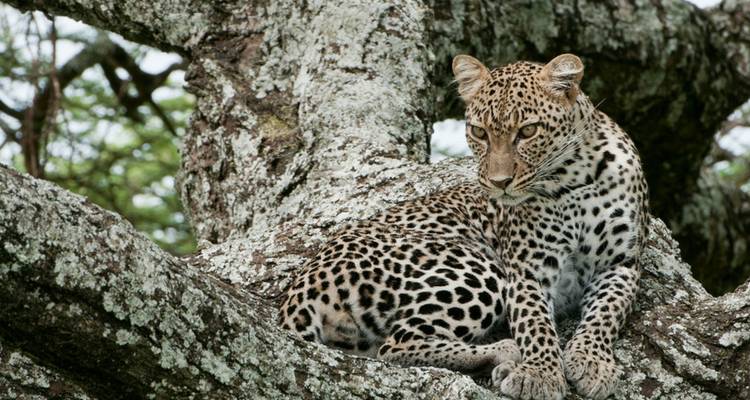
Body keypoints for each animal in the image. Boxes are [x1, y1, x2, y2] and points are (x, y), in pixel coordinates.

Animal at [279, 53, 649, 400]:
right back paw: (503, 352)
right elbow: (536, 325)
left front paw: (591, 361)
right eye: (479, 133)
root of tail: (303, 285)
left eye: (528, 131)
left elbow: (605, 315)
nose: (499, 183)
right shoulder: (526, 271)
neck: (574, 179)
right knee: (397, 345)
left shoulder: (622, 264)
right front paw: (540, 374)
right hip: (477, 269)